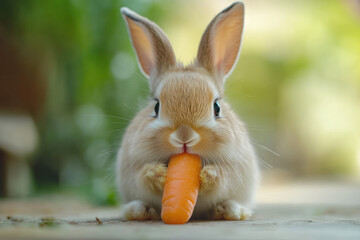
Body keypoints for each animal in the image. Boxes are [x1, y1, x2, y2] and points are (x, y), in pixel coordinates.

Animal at [116, 1, 260, 221]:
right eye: (156, 107)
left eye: (216, 107)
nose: (184, 137)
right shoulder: (132, 167)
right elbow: (142, 175)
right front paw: (157, 174)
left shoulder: (235, 167)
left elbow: (224, 176)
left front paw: (207, 175)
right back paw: (140, 211)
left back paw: (229, 211)